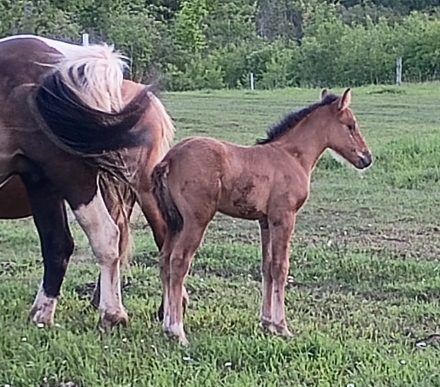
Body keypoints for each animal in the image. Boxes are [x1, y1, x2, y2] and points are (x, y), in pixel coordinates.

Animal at [0, 34, 174, 330]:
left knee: (117, 236)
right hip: (44, 181)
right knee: (61, 244)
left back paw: (120, 313)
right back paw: (44, 314)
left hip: (79, 176)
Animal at [153, 88, 372, 346]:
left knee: (165, 259)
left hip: (174, 221)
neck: (292, 156)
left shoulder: (265, 221)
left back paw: (167, 326)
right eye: (350, 125)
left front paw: (267, 322)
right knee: (179, 261)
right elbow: (281, 267)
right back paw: (178, 331)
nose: (367, 158)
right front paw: (282, 326)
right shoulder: (284, 217)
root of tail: (170, 158)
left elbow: (267, 266)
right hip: (196, 220)